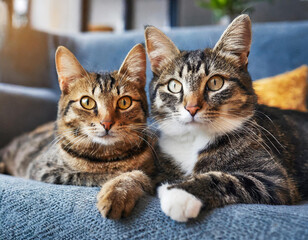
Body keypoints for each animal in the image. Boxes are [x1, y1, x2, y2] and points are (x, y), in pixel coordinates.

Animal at [0, 43, 154, 219]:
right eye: (87, 102)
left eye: (124, 102)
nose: (107, 123)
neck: (107, 155)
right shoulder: (45, 170)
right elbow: (99, 175)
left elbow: (135, 174)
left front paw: (119, 192)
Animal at [144, 14, 308, 221]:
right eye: (174, 85)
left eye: (215, 83)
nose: (191, 107)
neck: (194, 140)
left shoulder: (275, 179)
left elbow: (225, 178)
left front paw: (180, 193)